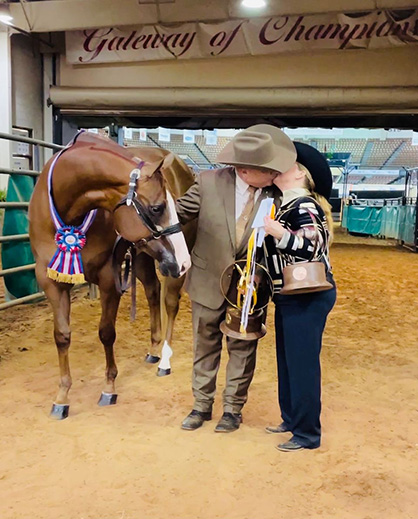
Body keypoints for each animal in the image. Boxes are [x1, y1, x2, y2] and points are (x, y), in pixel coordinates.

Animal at [28, 132, 192, 420]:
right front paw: (62, 397)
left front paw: (109, 388)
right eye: (157, 208)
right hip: (143, 255)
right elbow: (62, 336)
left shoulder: (108, 278)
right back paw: (153, 349)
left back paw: (164, 359)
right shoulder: (50, 280)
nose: (183, 261)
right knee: (152, 292)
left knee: (170, 302)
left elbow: (106, 333)